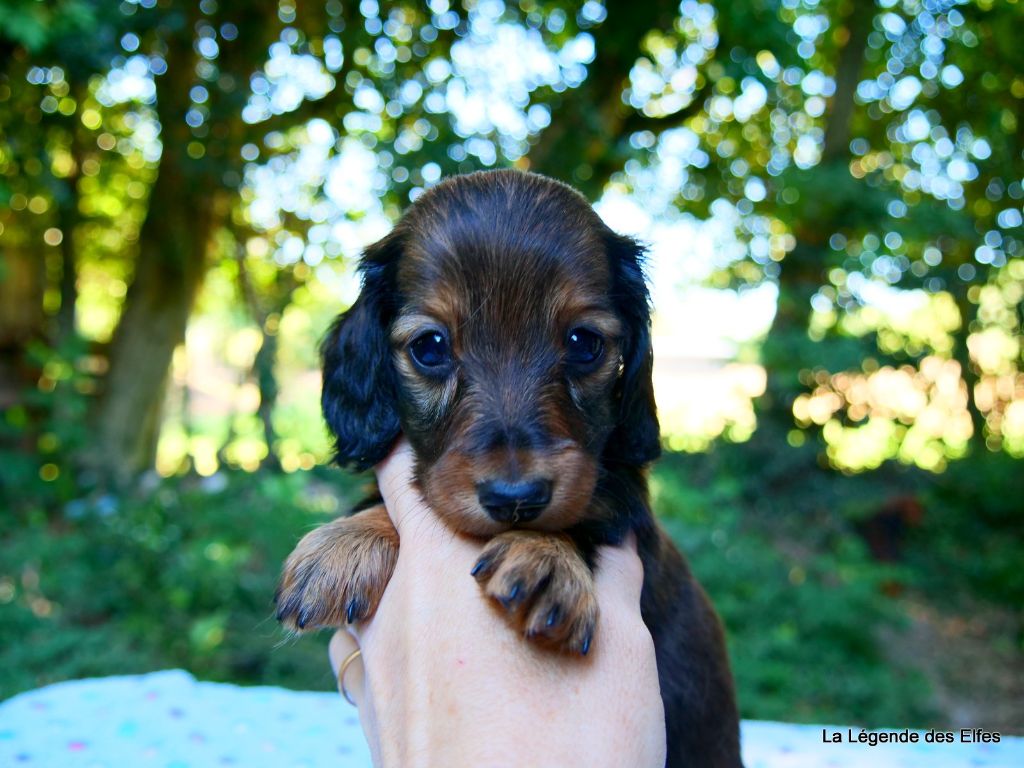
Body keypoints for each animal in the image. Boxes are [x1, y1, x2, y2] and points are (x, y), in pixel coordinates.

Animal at [278, 169, 745, 768]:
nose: (516, 499)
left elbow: (584, 516)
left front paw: (547, 559)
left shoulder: (619, 495)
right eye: (430, 347)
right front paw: (344, 545)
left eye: (584, 343)